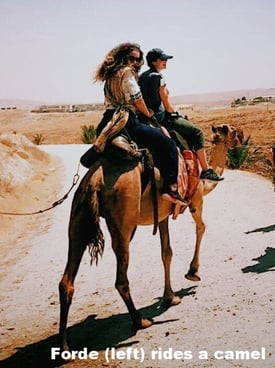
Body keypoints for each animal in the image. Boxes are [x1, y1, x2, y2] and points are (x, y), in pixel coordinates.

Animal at [58, 123, 244, 350]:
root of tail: (95, 180)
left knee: (67, 280)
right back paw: (140, 321)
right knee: (121, 277)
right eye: (232, 131)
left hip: (79, 212)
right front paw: (192, 272)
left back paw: (64, 347)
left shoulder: (163, 215)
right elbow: (201, 227)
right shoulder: (196, 200)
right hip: (124, 218)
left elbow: (166, 253)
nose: (241, 139)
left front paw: (170, 297)